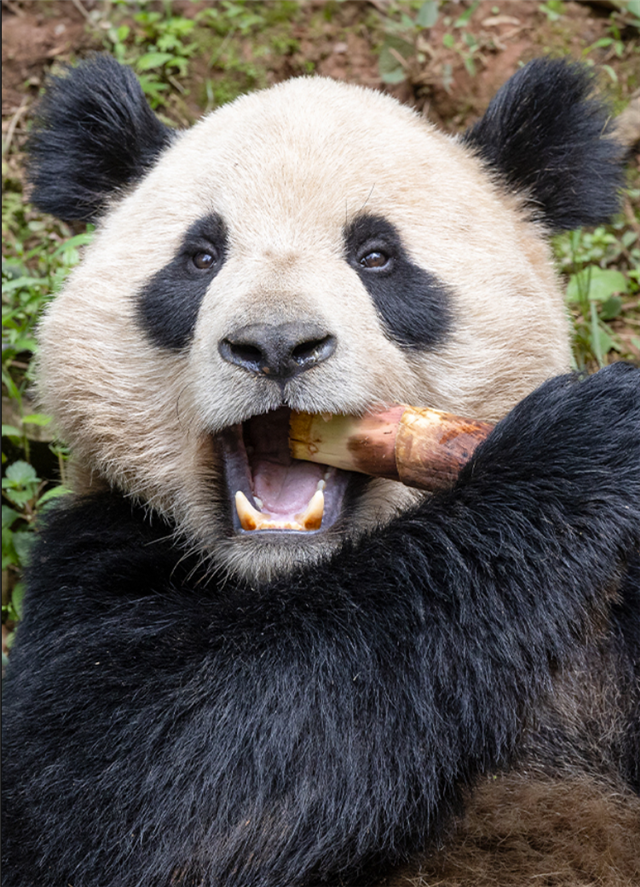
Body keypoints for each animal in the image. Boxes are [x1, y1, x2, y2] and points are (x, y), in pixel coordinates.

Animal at [1, 53, 640, 887]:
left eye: (377, 256)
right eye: (200, 256)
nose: (276, 344)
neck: (289, 577)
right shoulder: (96, 548)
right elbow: (144, 780)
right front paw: (576, 445)